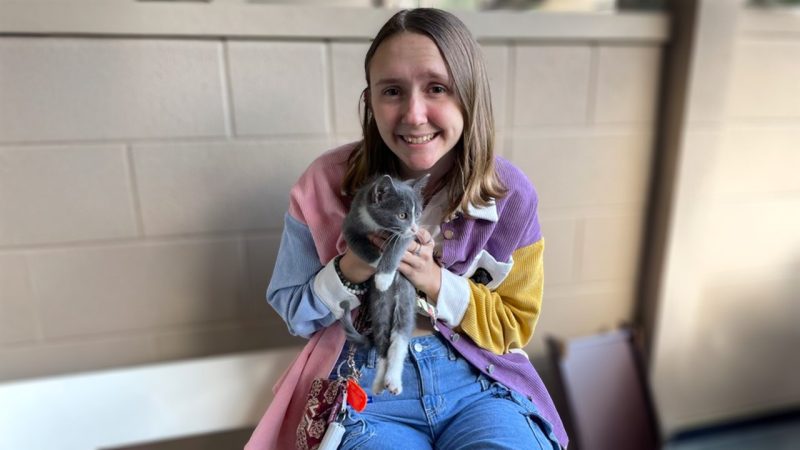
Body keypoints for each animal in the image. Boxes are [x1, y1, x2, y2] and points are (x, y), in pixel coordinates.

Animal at [340, 174, 428, 396]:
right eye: (402, 215)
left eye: (418, 214)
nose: (415, 227)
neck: (378, 226)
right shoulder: (351, 222)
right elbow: (358, 244)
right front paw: (375, 261)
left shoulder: (406, 238)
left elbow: (396, 248)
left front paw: (383, 276)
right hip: (379, 305)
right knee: (382, 343)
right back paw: (380, 382)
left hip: (405, 298)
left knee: (399, 339)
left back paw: (393, 380)